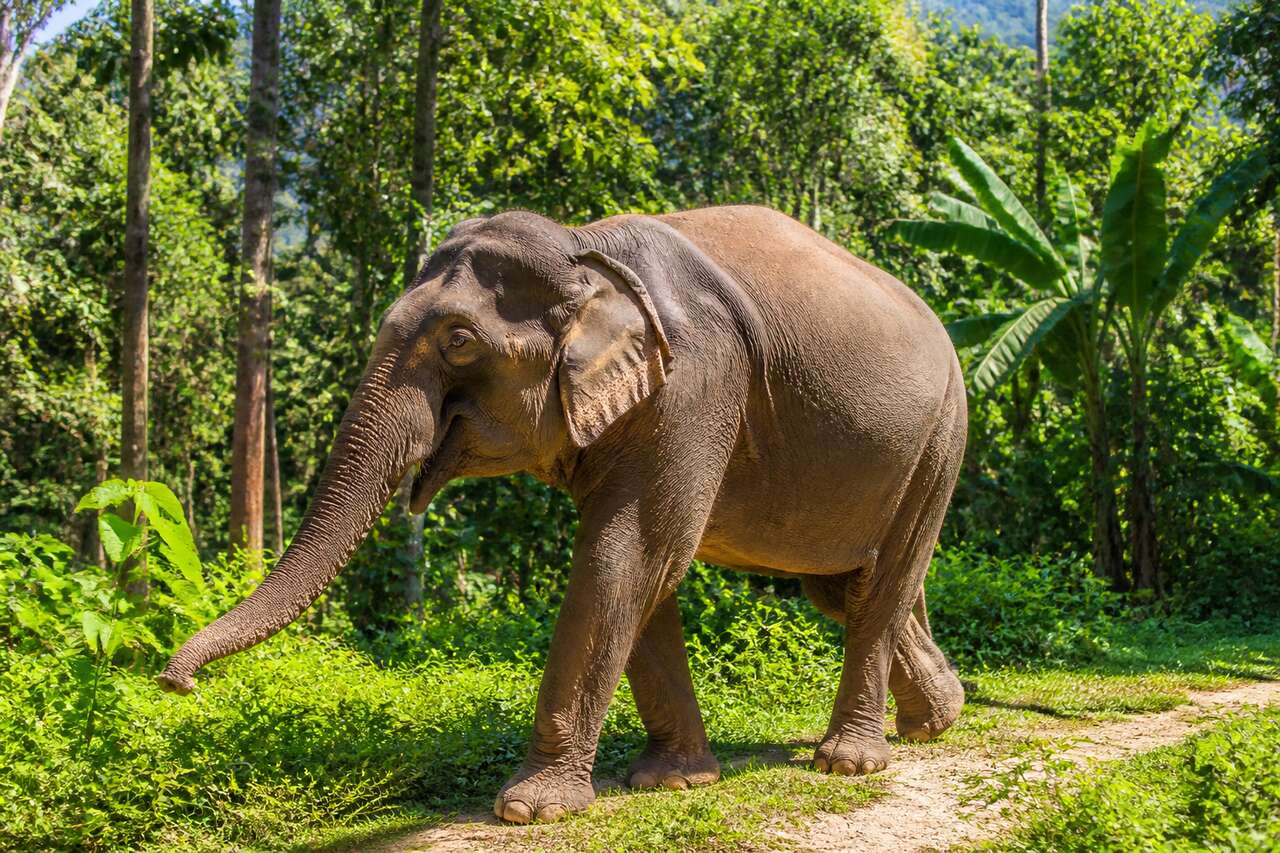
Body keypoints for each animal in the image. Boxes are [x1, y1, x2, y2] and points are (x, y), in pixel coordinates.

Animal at [157, 204, 967, 824]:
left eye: (459, 340)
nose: (177, 685)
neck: (587, 248)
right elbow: (647, 570)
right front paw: (673, 779)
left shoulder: (696, 381)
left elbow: (630, 552)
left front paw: (528, 808)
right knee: (843, 586)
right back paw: (937, 719)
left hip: (939, 437)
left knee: (885, 578)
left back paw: (850, 761)